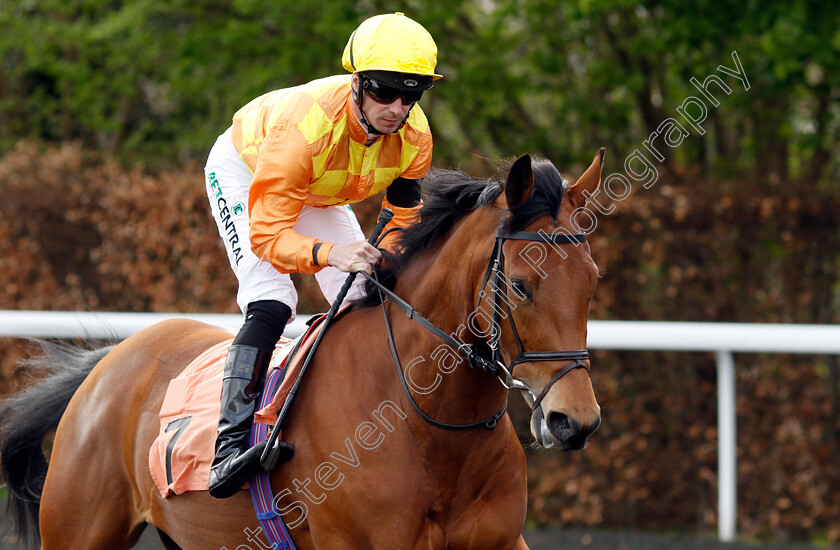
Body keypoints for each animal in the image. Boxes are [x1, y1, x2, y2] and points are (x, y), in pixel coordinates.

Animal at [0, 152, 604, 550]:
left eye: (593, 280)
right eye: (521, 285)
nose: (575, 421)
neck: (428, 424)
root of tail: (107, 364)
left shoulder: (501, 541)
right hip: (77, 531)